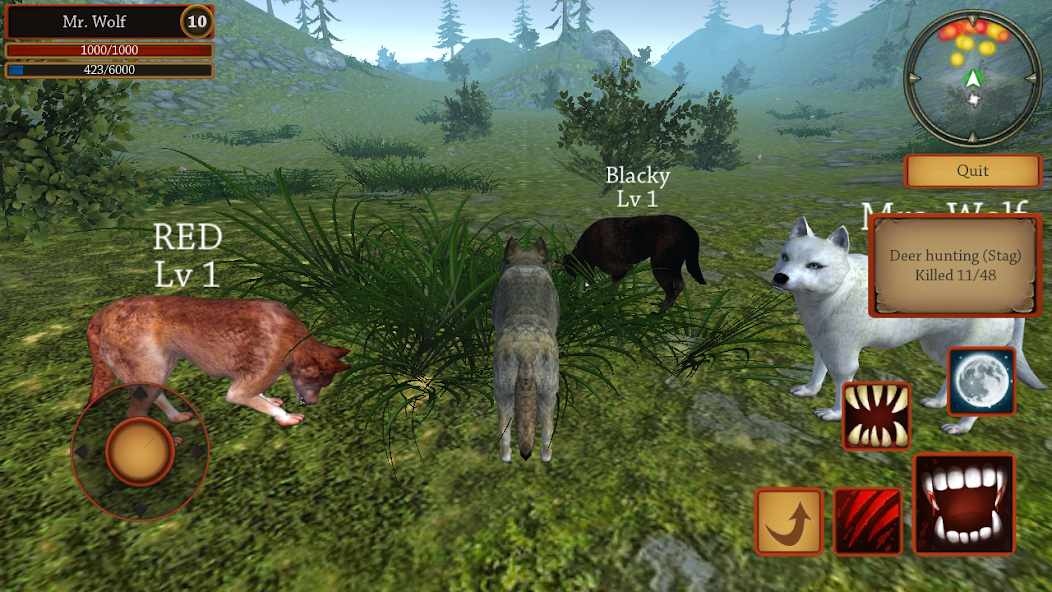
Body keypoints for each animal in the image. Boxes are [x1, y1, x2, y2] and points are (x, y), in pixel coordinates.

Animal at [88, 295, 350, 426]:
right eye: (317, 383)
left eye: (324, 385)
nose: (313, 404)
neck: (295, 338)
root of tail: (104, 311)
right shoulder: (240, 389)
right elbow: (256, 401)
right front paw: (285, 417)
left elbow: (260, 395)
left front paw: (269, 399)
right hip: (151, 371)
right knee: (134, 412)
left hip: (160, 368)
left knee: (157, 397)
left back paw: (176, 418)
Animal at [493, 237, 560, 461]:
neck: (526, 262)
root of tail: (526, 350)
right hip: (548, 394)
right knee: (546, 431)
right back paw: (545, 457)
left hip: (504, 392)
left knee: (504, 430)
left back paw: (506, 458)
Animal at [562, 215, 706, 312]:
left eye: (571, 271)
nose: (569, 285)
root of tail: (689, 228)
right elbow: (612, 288)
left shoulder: (621, 269)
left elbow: (612, 288)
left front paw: (606, 301)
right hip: (669, 265)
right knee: (678, 284)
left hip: (661, 264)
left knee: (675, 286)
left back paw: (660, 311)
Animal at [772, 218, 1045, 434]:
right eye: (785, 257)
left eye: (814, 265)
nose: (780, 277)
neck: (837, 291)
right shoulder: (822, 343)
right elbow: (818, 370)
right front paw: (809, 390)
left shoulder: (844, 353)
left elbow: (841, 382)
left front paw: (835, 414)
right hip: (939, 347)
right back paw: (938, 404)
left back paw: (961, 427)